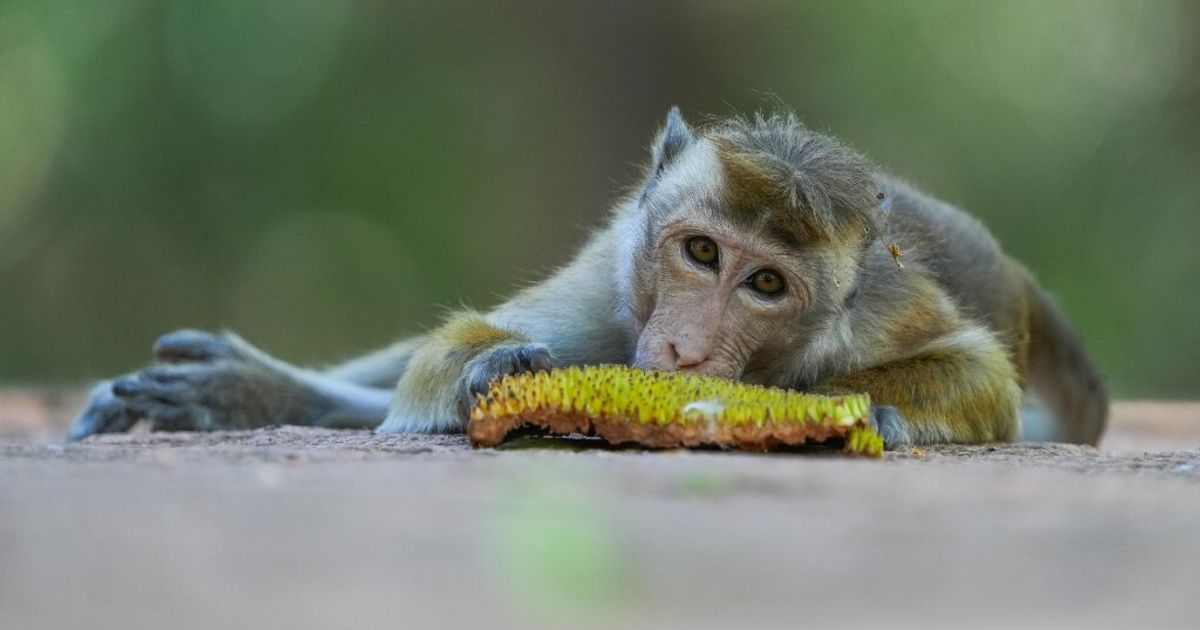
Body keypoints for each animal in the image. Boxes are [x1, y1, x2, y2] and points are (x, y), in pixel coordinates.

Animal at [70, 106, 1108, 446]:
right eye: (700, 253)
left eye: (766, 285)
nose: (683, 348)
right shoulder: (616, 274)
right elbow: (451, 349)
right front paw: (491, 371)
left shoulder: (881, 316)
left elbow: (975, 372)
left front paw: (864, 411)